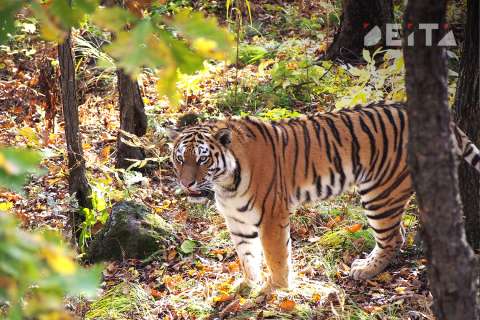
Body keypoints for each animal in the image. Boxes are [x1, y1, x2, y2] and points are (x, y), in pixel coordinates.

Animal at [166, 102, 480, 292]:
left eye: (203, 159)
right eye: (181, 159)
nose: (187, 183)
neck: (225, 184)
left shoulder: (271, 215)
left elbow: (276, 255)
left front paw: (277, 290)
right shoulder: (237, 220)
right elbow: (247, 255)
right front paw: (248, 286)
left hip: (380, 193)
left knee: (392, 238)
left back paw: (366, 270)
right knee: (398, 234)